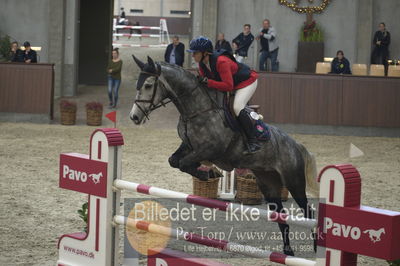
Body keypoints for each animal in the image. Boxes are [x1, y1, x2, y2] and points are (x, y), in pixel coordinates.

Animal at [129, 55, 318, 256]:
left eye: (148, 85)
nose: (134, 117)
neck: (196, 110)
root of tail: (295, 144)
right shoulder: (189, 145)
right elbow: (174, 161)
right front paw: (208, 173)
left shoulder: (211, 149)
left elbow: (184, 163)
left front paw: (207, 173)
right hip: (269, 184)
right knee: (281, 217)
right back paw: (287, 251)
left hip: (294, 182)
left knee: (309, 213)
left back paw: (315, 247)